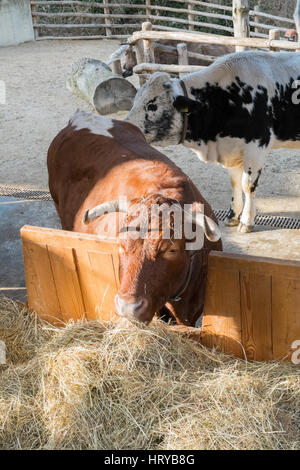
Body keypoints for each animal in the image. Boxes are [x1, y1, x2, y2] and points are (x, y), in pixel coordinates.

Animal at [125, 51, 300, 233]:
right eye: (135, 101)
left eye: (152, 105)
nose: (126, 125)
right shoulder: (232, 148)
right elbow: (235, 182)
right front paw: (232, 216)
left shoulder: (257, 146)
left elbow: (247, 185)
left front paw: (246, 221)